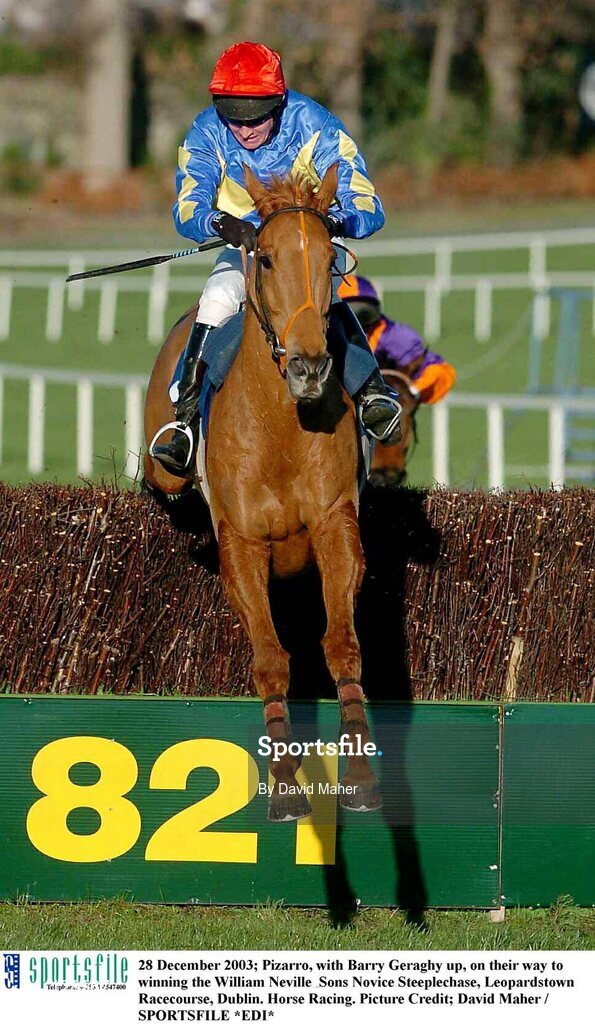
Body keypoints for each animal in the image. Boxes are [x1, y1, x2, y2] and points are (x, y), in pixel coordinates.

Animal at [144, 163, 381, 821]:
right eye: (268, 258)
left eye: (330, 258)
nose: (309, 367)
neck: (280, 426)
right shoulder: (243, 543)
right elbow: (271, 659)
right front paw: (284, 783)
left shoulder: (334, 524)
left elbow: (342, 645)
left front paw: (357, 773)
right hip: (164, 467)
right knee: (163, 481)